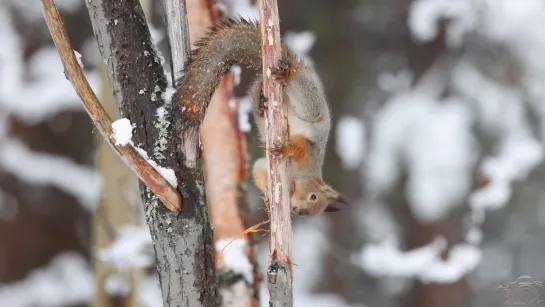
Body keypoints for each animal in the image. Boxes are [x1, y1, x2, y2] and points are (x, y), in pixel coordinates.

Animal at [174, 19, 346, 217]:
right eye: (313, 197)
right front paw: (283, 149)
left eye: (304, 214)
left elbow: (259, 170)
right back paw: (285, 76)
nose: (296, 209)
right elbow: (297, 147)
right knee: (298, 87)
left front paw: (269, 197)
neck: (297, 178)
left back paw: (263, 103)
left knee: (257, 90)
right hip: (309, 100)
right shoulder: (309, 151)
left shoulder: (265, 167)